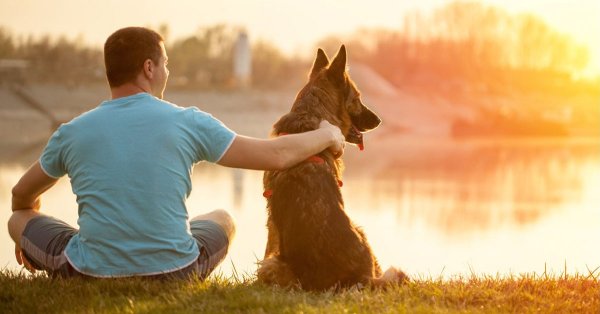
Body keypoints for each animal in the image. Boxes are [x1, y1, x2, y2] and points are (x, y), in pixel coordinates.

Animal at [258, 45, 408, 290]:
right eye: (357, 98)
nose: (379, 121)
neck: (310, 115)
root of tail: (357, 278)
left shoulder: (272, 221)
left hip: (274, 266)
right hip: (360, 230)